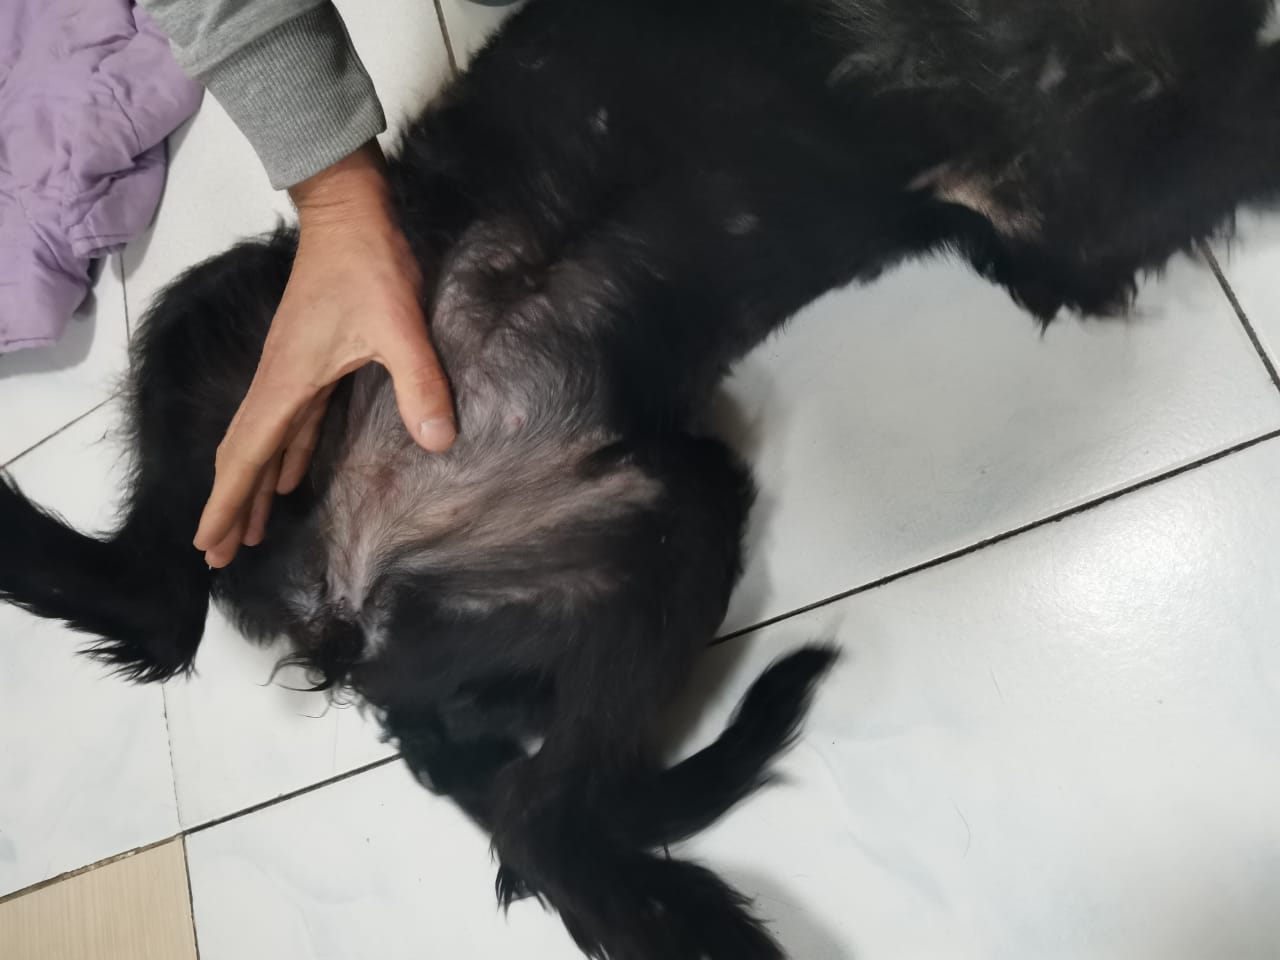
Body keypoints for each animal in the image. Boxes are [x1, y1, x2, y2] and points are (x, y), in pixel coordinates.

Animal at [5, 1, 1280, 956]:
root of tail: (345, 594)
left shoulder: (1053, 204)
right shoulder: (1061, 177)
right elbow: (1233, 114)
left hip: (649, 525)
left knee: (168, 613)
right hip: (257, 338)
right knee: (531, 825)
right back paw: (706, 936)